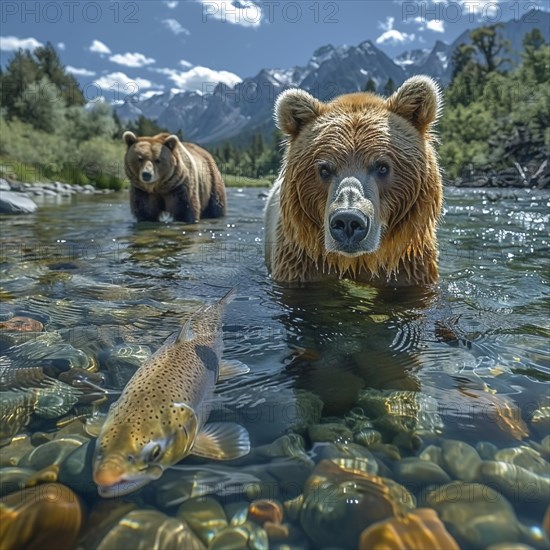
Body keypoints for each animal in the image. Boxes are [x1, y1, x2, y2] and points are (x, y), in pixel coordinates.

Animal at [266, 76, 446, 288]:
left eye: (382, 167)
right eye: (324, 169)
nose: (348, 220)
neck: (356, 261)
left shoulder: (407, 262)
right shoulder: (302, 259)